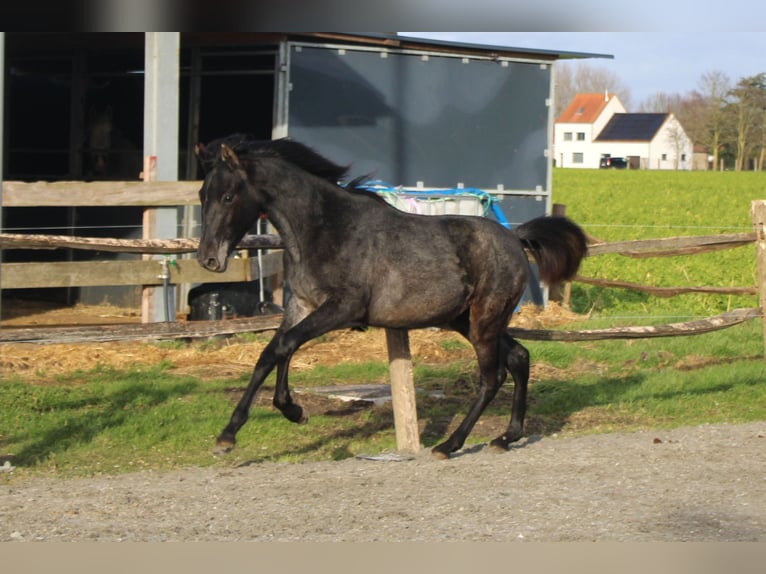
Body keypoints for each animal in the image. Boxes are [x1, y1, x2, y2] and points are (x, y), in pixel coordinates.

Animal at [196, 137, 588, 462]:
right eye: (202, 195)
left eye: (228, 196)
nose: (208, 259)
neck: (324, 228)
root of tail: (515, 238)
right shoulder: (302, 305)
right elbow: (271, 353)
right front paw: (235, 433)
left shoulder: (343, 309)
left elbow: (285, 345)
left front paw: (286, 413)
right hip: (465, 320)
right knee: (519, 357)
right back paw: (507, 437)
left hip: (484, 321)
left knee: (492, 377)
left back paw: (449, 445)